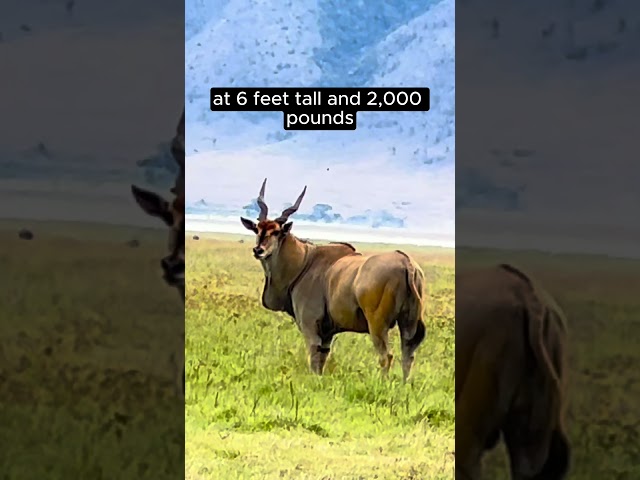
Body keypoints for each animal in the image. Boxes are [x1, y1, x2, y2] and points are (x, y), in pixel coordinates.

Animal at [240, 179, 427, 381]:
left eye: (276, 232)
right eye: (257, 229)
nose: (258, 250)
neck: (304, 263)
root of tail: (407, 263)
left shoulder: (311, 327)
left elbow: (314, 360)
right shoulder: (327, 334)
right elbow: (322, 359)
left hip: (377, 324)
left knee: (387, 356)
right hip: (408, 323)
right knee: (408, 354)